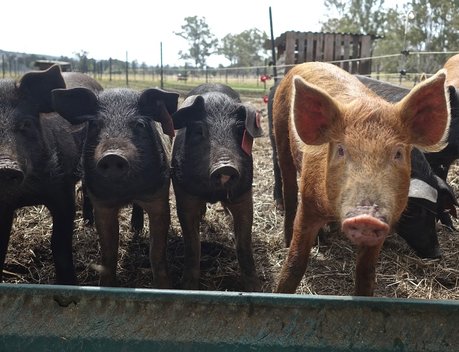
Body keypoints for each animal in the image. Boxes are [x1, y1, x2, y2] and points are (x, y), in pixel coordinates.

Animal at [51, 86, 178, 288]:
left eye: (139, 124)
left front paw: (164, 287)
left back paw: (136, 228)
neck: (125, 192)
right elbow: (108, 252)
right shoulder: (102, 203)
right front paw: (106, 285)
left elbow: (156, 252)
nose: (112, 155)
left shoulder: (159, 196)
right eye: (95, 124)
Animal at [172, 83, 266, 292]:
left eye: (239, 130)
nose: (226, 167)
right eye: (199, 130)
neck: (213, 193)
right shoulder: (184, 194)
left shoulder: (243, 194)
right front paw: (187, 287)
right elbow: (193, 246)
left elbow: (244, 245)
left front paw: (255, 289)